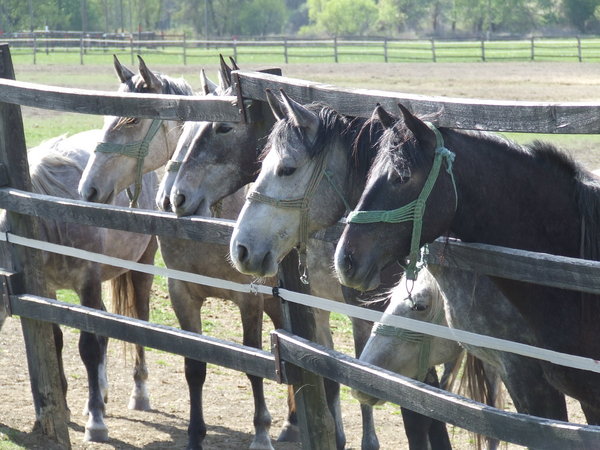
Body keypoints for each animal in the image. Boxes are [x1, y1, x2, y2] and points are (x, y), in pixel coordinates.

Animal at [0, 130, 159, 442]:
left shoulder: (88, 281)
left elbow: (88, 347)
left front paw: (96, 423)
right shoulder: (45, 288)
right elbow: (56, 341)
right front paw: (64, 407)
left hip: (141, 267)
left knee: (138, 322)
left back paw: (139, 394)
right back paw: (101, 394)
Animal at [77, 55, 298, 450]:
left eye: (132, 120)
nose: (88, 189)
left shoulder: (249, 300)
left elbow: (253, 363)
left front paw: (261, 432)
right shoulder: (183, 294)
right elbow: (194, 366)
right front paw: (196, 434)